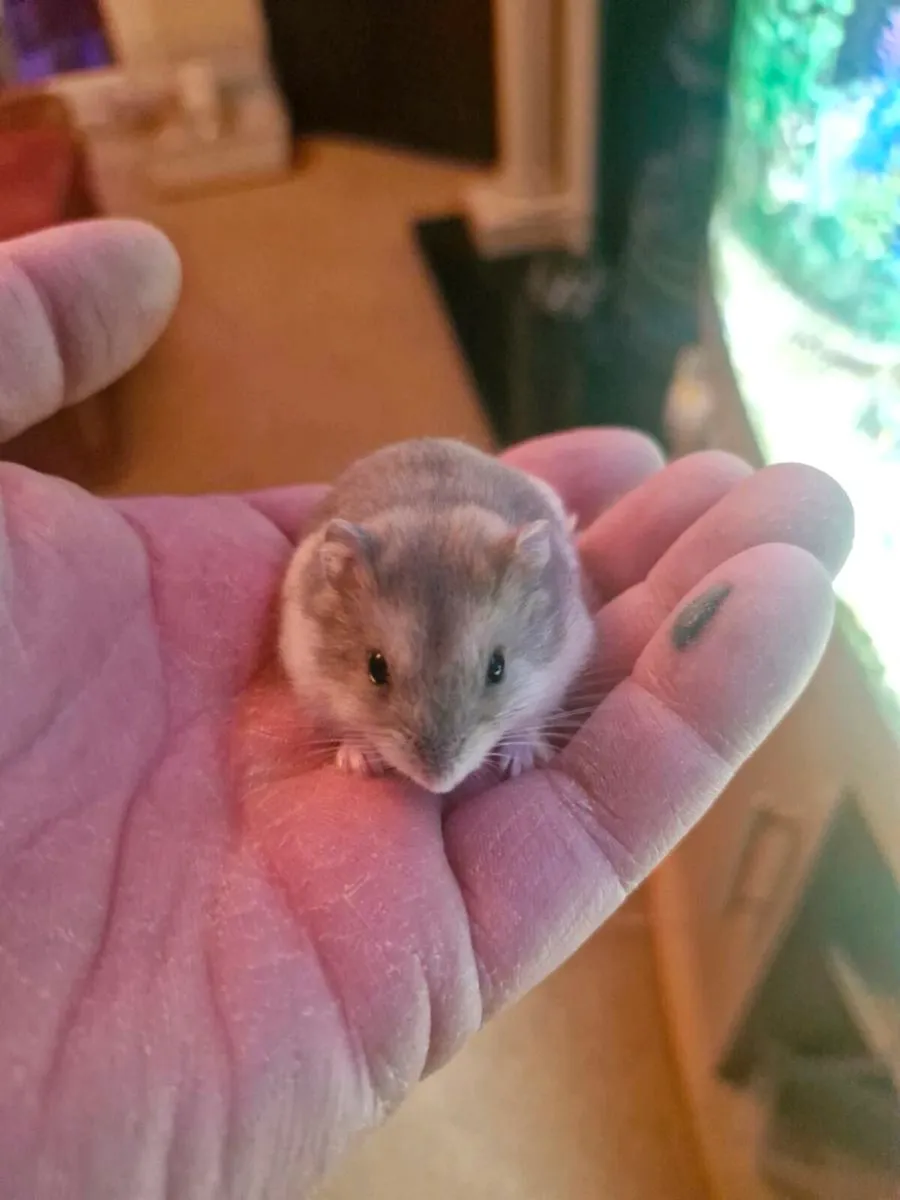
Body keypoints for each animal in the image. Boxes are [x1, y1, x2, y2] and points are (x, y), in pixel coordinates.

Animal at [280, 438, 595, 794]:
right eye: (375, 668)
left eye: (497, 668)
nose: (438, 783)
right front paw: (360, 763)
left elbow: (529, 720)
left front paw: (518, 762)